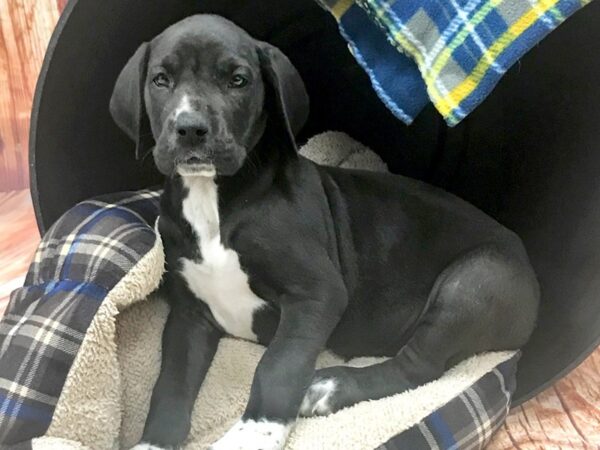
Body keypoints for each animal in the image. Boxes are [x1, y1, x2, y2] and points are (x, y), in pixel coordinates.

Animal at [110, 14, 540, 450]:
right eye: (161, 80)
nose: (190, 129)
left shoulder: (316, 294)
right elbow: (171, 382)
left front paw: (255, 433)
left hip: (477, 280)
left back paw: (329, 388)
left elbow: (277, 367)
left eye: (238, 80)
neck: (213, 199)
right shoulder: (189, 313)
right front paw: (154, 442)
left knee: (417, 368)